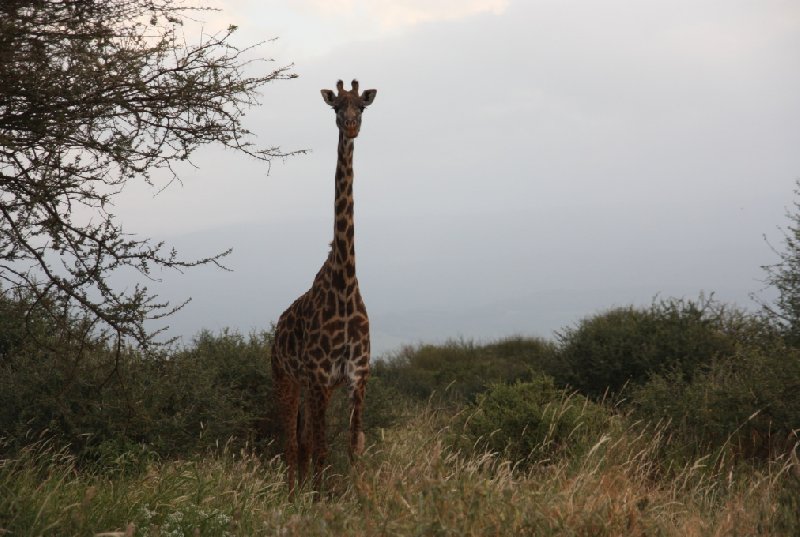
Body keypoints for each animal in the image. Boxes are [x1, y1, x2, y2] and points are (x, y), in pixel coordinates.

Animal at [272, 77, 378, 492]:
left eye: (361, 107)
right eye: (336, 107)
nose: (351, 126)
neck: (344, 284)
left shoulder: (355, 376)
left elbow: (353, 445)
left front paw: (360, 496)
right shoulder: (317, 375)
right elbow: (319, 448)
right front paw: (317, 499)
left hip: (318, 387)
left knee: (301, 441)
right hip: (285, 378)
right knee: (291, 443)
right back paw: (291, 494)